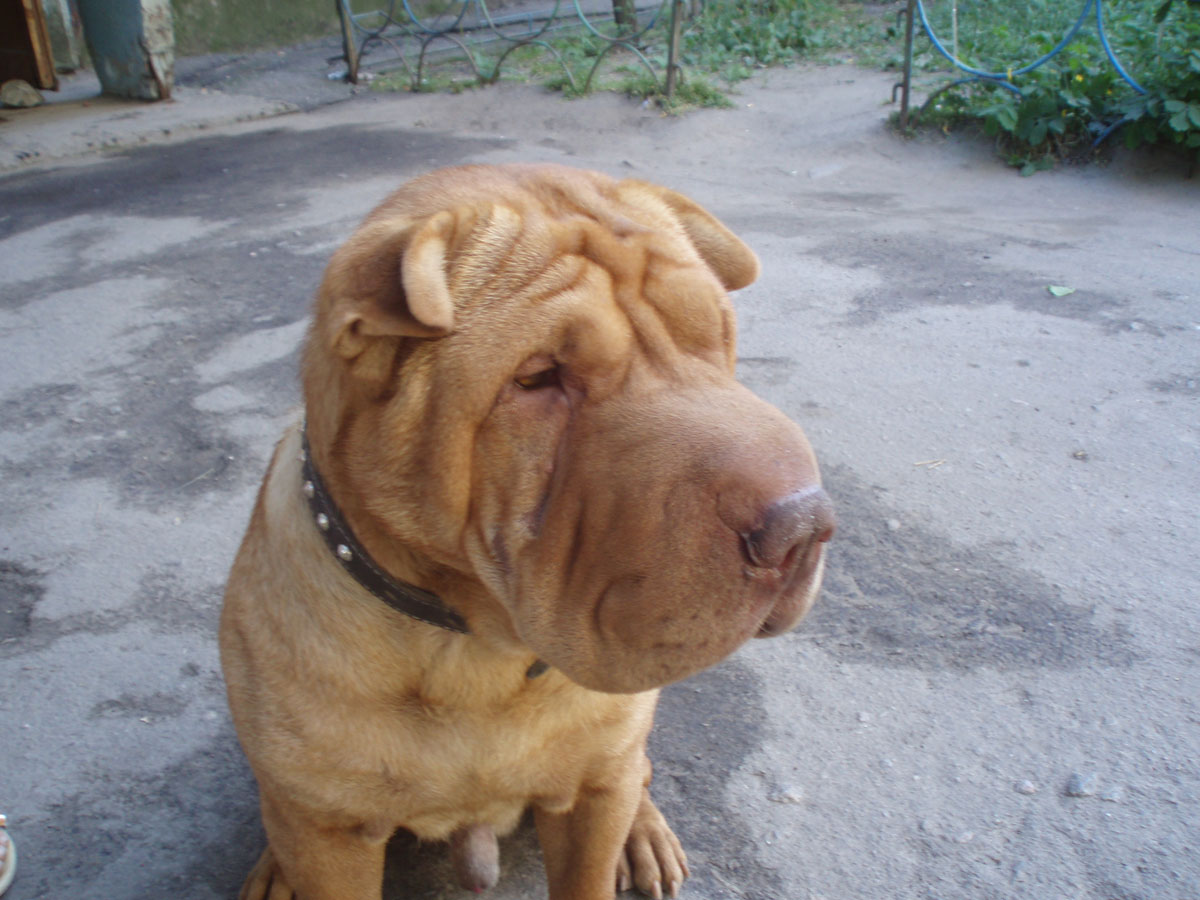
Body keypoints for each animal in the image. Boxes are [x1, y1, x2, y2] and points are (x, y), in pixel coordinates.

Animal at [219, 163, 834, 900]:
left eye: (714, 334)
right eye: (538, 378)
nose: (802, 525)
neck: (472, 651)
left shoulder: (592, 795)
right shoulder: (330, 835)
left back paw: (645, 832)